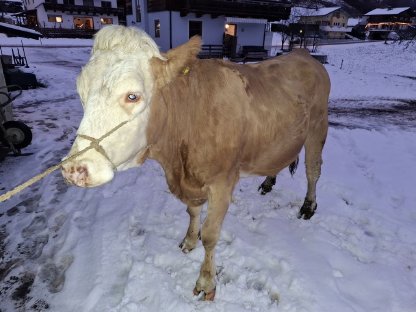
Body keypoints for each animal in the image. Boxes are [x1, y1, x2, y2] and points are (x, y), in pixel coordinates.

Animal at [61, 26, 330, 300]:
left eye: (132, 96)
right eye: (81, 93)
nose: (74, 168)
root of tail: (303, 54)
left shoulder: (222, 182)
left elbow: (210, 235)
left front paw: (206, 282)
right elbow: (192, 212)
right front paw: (189, 240)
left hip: (317, 128)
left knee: (313, 170)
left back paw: (308, 206)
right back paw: (268, 182)